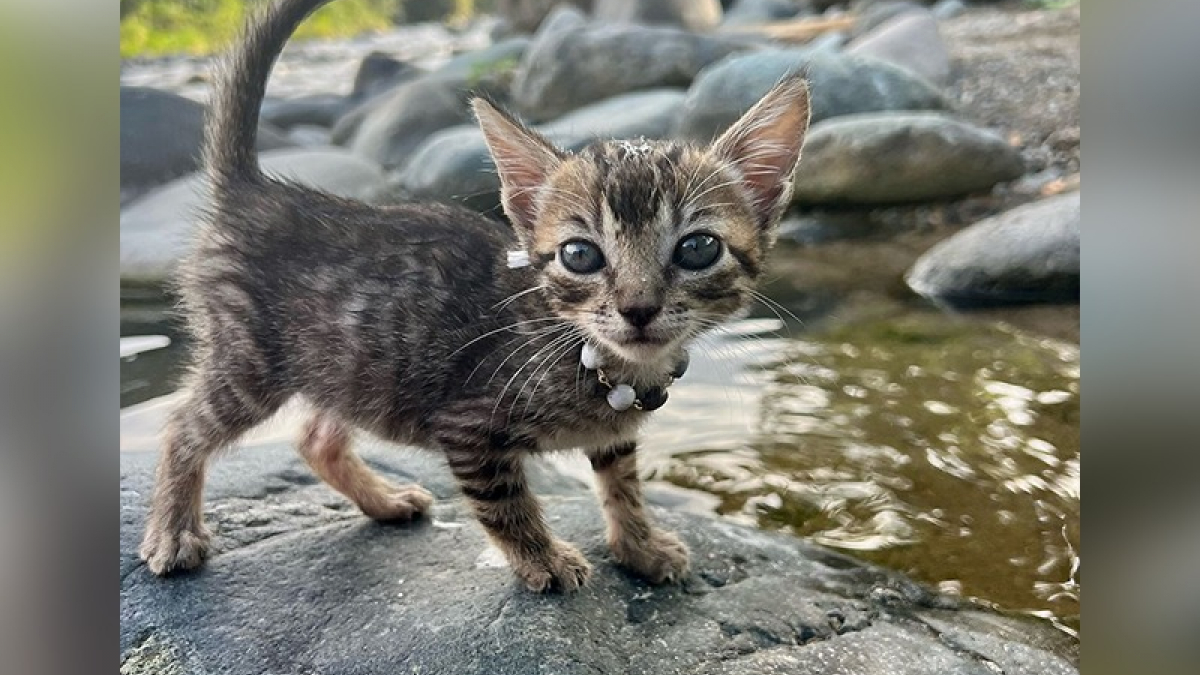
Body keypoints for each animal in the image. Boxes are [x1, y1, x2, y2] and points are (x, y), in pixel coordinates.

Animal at [140, 0, 816, 588]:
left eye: (697, 248)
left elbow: (622, 481)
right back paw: (173, 533)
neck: (592, 357)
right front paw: (544, 560)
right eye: (580, 255)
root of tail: (255, 190)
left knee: (316, 438)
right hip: (250, 358)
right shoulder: (467, 425)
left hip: (348, 363)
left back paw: (383, 501)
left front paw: (640, 545)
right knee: (184, 429)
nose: (638, 308)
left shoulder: (613, 432)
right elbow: (505, 503)